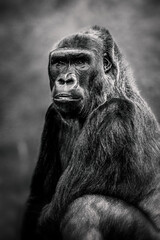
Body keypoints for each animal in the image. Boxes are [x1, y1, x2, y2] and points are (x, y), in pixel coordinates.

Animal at [21, 25, 160, 239]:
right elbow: (38, 199)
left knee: (85, 208)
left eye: (81, 62)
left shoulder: (114, 115)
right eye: (60, 62)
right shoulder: (53, 116)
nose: (65, 80)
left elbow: (55, 212)